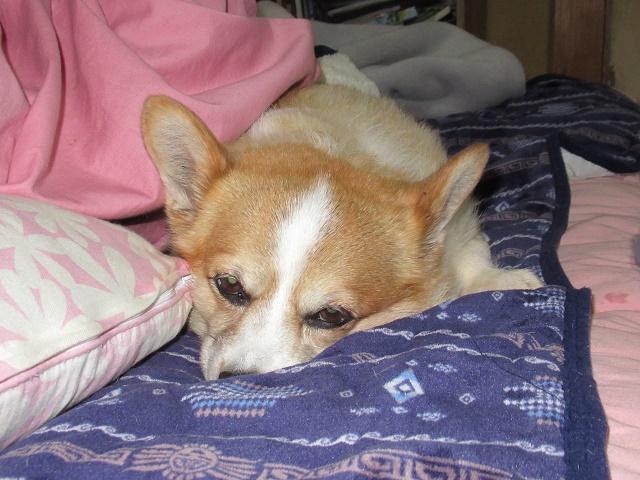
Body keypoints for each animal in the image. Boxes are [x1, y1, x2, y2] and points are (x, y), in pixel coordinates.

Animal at [141, 84, 542, 380]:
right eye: (229, 286)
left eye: (332, 316)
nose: (238, 381)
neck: (334, 148)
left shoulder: (462, 225)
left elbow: (472, 256)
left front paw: (504, 280)